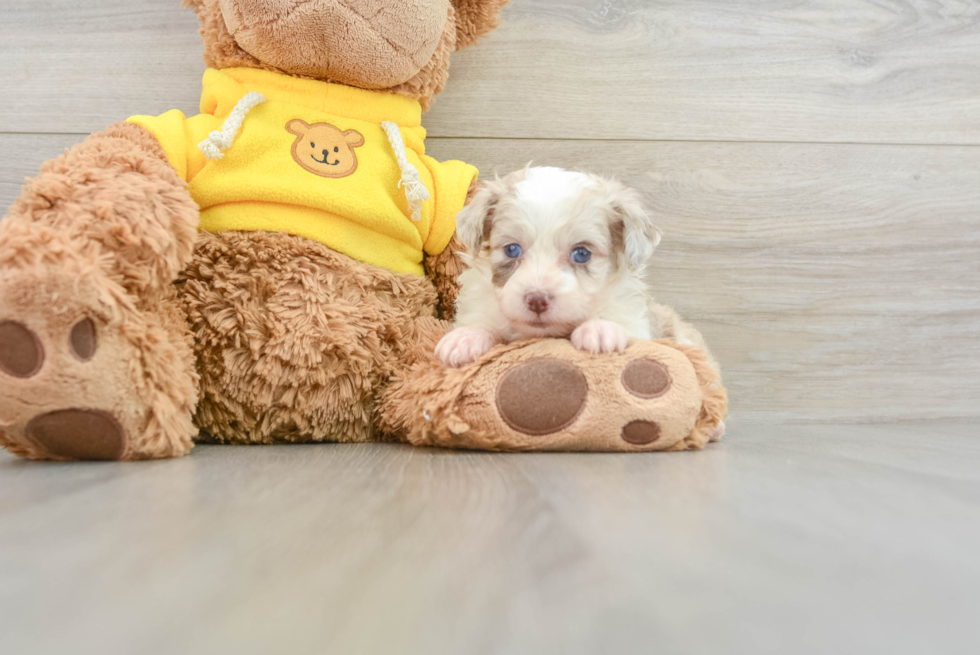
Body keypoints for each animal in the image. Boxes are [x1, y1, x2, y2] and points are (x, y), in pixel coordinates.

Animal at [436, 165, 720, 380]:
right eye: (512, 249)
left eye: (582, 253)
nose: (537, 300)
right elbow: (484, 324)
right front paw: (465, 339)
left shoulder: (636, 321)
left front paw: (600, 330)